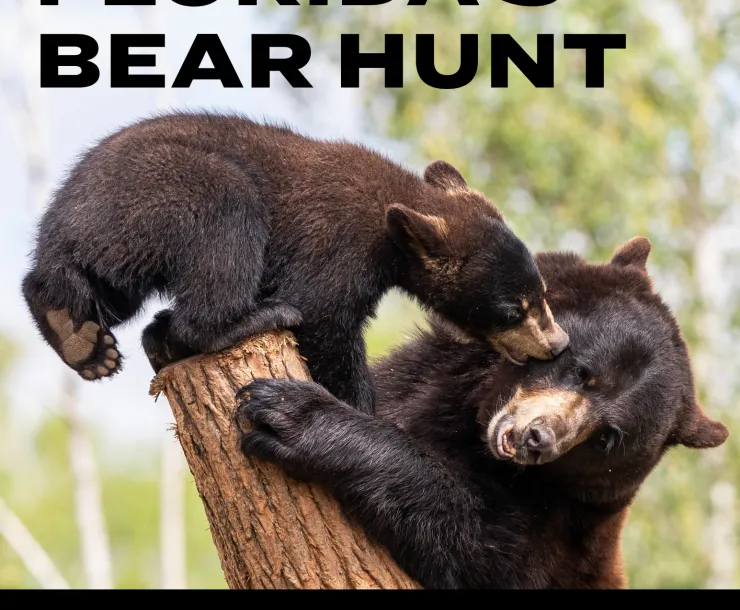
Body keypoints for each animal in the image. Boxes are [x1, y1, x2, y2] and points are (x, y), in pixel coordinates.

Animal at [21, 112, 568, 414]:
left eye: (540, 292)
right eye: (512, 309)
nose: (556, 343)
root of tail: (59, 223)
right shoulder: (335, 245)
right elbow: (323, 317)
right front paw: (361, 407)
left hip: (116, 245)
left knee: (93, 289)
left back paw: (81, 338)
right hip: (167, 191)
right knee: (226, 218)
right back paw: (244, 320)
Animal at [235, 236, 730, 588]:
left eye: (608, 437)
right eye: (583, 372)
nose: (538, 439)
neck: (474, 419)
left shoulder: (558, 533)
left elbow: (476, 546)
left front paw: (292, 415)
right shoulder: (417, 379)